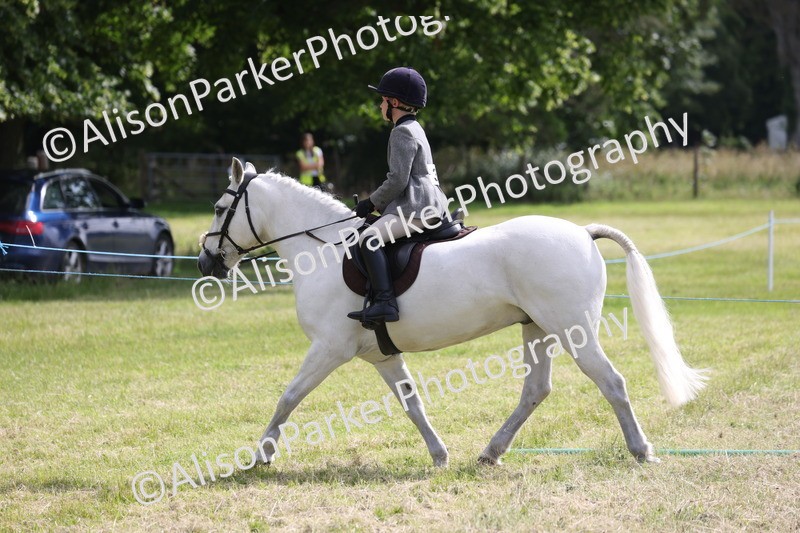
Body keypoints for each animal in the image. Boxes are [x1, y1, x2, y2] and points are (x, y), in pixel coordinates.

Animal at [198, 157, 707, 467]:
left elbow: (288, 396)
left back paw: (641, 450)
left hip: (572, 330)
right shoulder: (381, 354)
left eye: (221, 207)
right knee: (536, 390)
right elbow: (411, 403)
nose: (206, 262)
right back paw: (490, 452)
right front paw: (440, 454)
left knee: (611, 382)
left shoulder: (329, 348)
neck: (322, 251)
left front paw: (262, 455)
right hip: (537, 329)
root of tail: (582, 232)